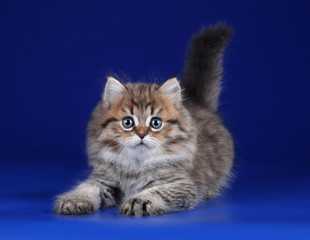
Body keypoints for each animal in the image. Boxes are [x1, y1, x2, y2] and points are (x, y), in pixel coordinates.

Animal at [54, 23, 234, 216]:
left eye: (155, 123)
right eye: (127, 122)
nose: (141, 134)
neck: (136, 167)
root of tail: (197, 102)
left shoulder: (180, 184)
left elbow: (156, 192)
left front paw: (137, 202)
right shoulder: (104, 179)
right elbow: (86, 188)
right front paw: (74, 200)